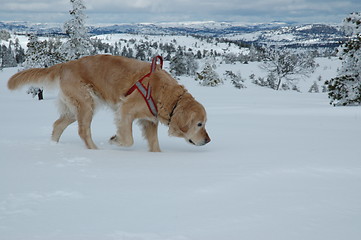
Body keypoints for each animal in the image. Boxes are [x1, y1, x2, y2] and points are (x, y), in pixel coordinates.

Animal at [7, 55, 211, 151]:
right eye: (199, 124)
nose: (208, 141)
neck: (163, 93)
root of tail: (65, 65)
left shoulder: (149, 121)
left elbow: (155, 145)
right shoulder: (125, 109)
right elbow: (128, 139)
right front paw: (115, 140)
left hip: (75, 108)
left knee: (58, 124)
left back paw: (54, 145)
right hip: (86, 103)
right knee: (83, 131)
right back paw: (96, 151)